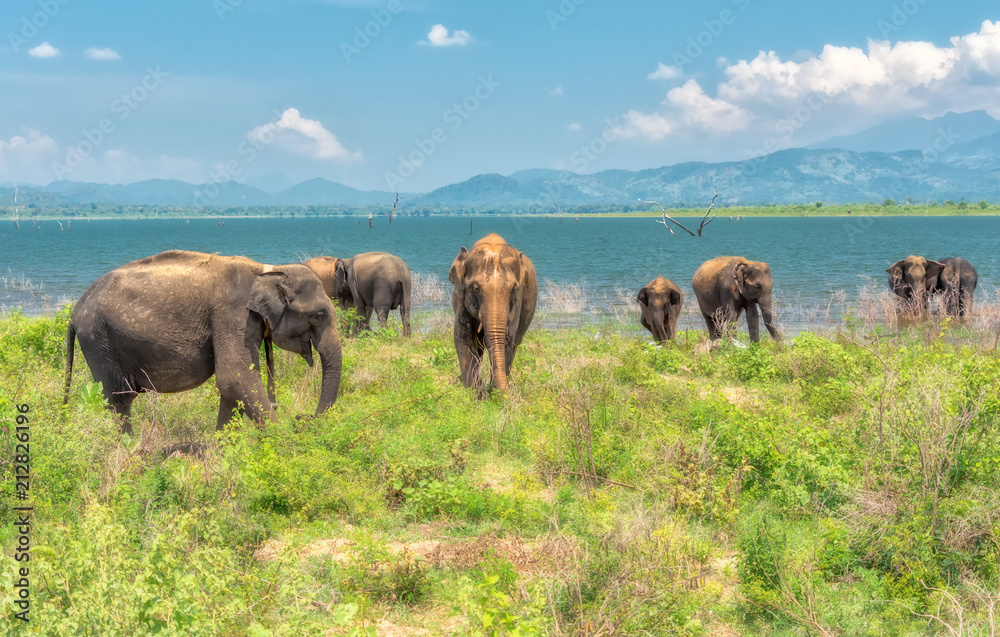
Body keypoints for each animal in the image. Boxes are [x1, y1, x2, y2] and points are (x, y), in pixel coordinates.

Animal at [64, 250, 342, 433]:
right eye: (319, 315)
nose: (302, 418)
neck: (267, 271)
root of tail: (75, 311)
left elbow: (232, 388)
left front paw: (222, 451)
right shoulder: (232, 316)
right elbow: (235, 378)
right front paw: (282, 443)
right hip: (99, 341)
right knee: (119, 400)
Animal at [449, 233, 537, 393]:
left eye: (514, 288)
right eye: (475, 288)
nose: (509, 393)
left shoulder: (518, 299)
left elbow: (508, 339)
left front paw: (492, 391)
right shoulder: (461, 297)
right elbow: (462, 337)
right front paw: (474, 391)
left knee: (514, 344)